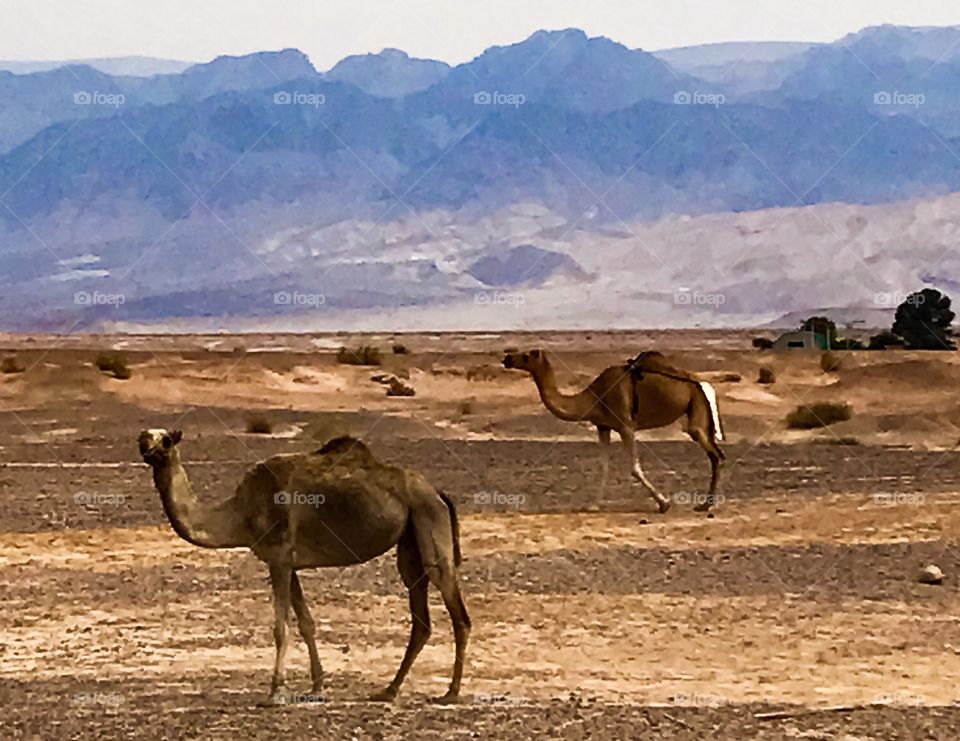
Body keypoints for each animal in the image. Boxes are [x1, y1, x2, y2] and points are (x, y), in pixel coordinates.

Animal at [138, 429, 470, 705]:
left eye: (166, 440)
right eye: (144, 436)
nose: (145, 445)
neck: (240, 513)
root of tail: (437, 492)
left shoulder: (279, 558)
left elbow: (280, 627)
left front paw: (275, 693)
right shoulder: (290, 563)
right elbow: (306, 623)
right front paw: (317, 686)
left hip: (429, 519)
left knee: (458, 613)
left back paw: (450, 693)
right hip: (410, 539)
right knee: (420, 613)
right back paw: (388, 690)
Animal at [502, 350, 724, 513]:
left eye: (526, 356)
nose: (507, 358)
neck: (594, 398)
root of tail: (702, 383)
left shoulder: (626, 425)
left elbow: (634, 468)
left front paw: (664, 503)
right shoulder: (603, 426)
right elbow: (604, 466)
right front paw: (593, 505)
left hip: (697, 410)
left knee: (715, 454)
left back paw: (705, 505)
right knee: (716, 454)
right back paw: (705, 504)